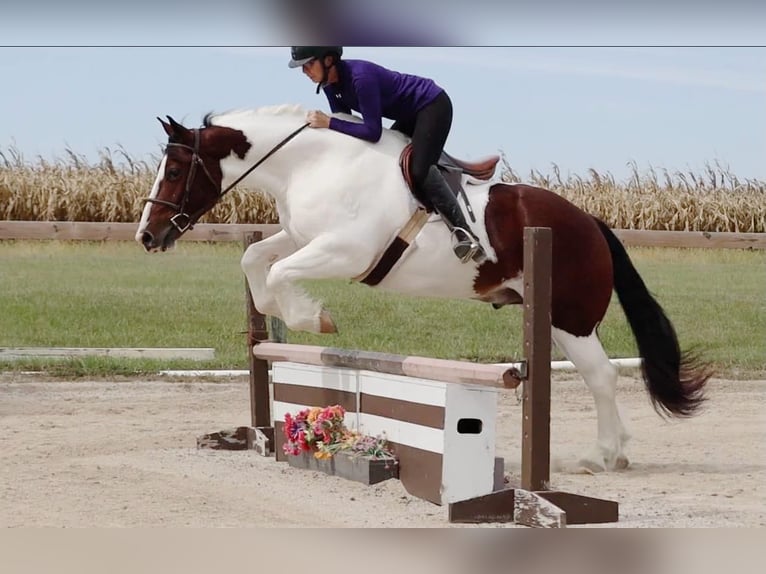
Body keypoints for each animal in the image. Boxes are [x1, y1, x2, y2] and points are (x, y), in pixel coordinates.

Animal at [134, 103, 712, 472]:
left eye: (176, 169)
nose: (147, 236)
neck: (312, 164)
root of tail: (590, 221)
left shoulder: (346, 251)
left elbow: (279, 275)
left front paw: (315, 318)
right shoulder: (302, 237)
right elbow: (255, 259)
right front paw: (283, 317)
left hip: (567, 316)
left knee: (601, 376)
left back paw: (602, 456)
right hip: (551, 314)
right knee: (599, 375)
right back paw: (614, 452)